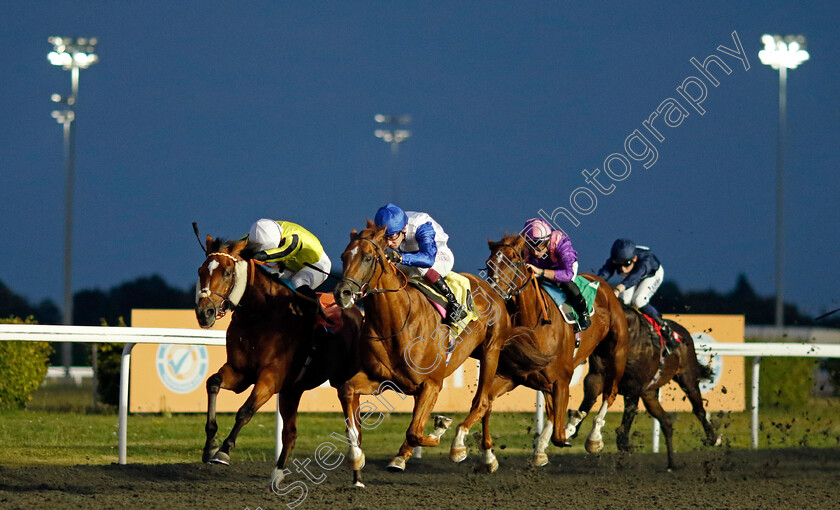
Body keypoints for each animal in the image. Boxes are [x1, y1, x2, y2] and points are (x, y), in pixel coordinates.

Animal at [195, 237, 362, 484]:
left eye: (227, 272)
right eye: (201, 271)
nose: (204, 313)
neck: (259, 314)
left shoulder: (270, 377)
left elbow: (245, 410)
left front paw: (224, 451)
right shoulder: (240, 371)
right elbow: (213, 383)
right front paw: (210, 446)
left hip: (344, 382)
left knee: (354, 428)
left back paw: (357, 472)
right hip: (292, 391)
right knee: (290, 433)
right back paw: (277, 475)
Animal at [334, 222, 552, 486]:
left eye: (367, 258)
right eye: (344, 257)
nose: (342, 293)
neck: (396, 322)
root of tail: (493, 289)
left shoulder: (431, 384)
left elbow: (415, 431)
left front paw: (441, 429)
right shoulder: (381, 379)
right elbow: (347, 392)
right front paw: (356, 458)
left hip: (491, 351)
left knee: (482, 402)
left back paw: (460, 445)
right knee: (487, 404)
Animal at [482, 235, 628, 466]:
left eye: (513, 262)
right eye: (489, 264)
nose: (493, 292)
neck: (536, 324)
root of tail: (604, 285)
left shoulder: (562, 377)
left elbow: (559, 433)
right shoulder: (515, 376)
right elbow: (486, 403)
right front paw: (487, 456)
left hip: (616, 354)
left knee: (610, 392)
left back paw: (593, 438)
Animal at [560, 306, 720, 470]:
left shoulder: (633, 387)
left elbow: (626, 421)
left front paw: (623, 445)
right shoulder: (597, 377)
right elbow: (588, 401)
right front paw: (571, 430)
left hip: (687, 378)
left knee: (698, 408)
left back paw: (712, 438)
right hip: (649, 394)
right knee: (666, 421)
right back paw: (671, 463)